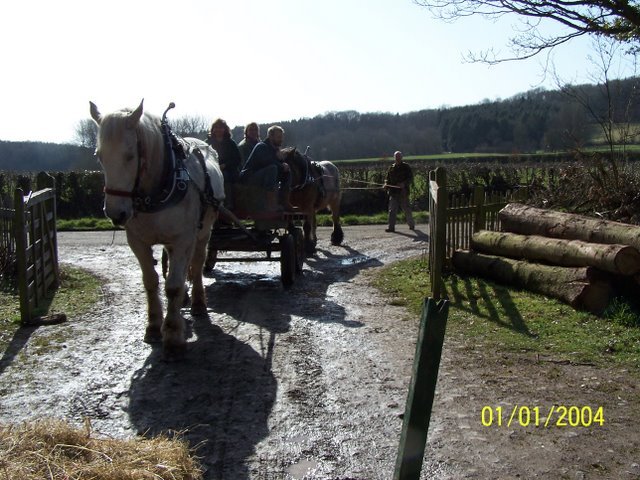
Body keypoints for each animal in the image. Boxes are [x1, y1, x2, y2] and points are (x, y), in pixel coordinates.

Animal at [89, 99, 225, 358]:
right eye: (99, 156)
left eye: (130, 155)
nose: (115, 213)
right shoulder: (137, 242)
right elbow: (151, 281)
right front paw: (153, 325)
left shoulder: (183, 238)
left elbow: (173, 286)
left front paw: (172, 335)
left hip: (202, 233)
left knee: (197, 263)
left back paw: (197, 303)